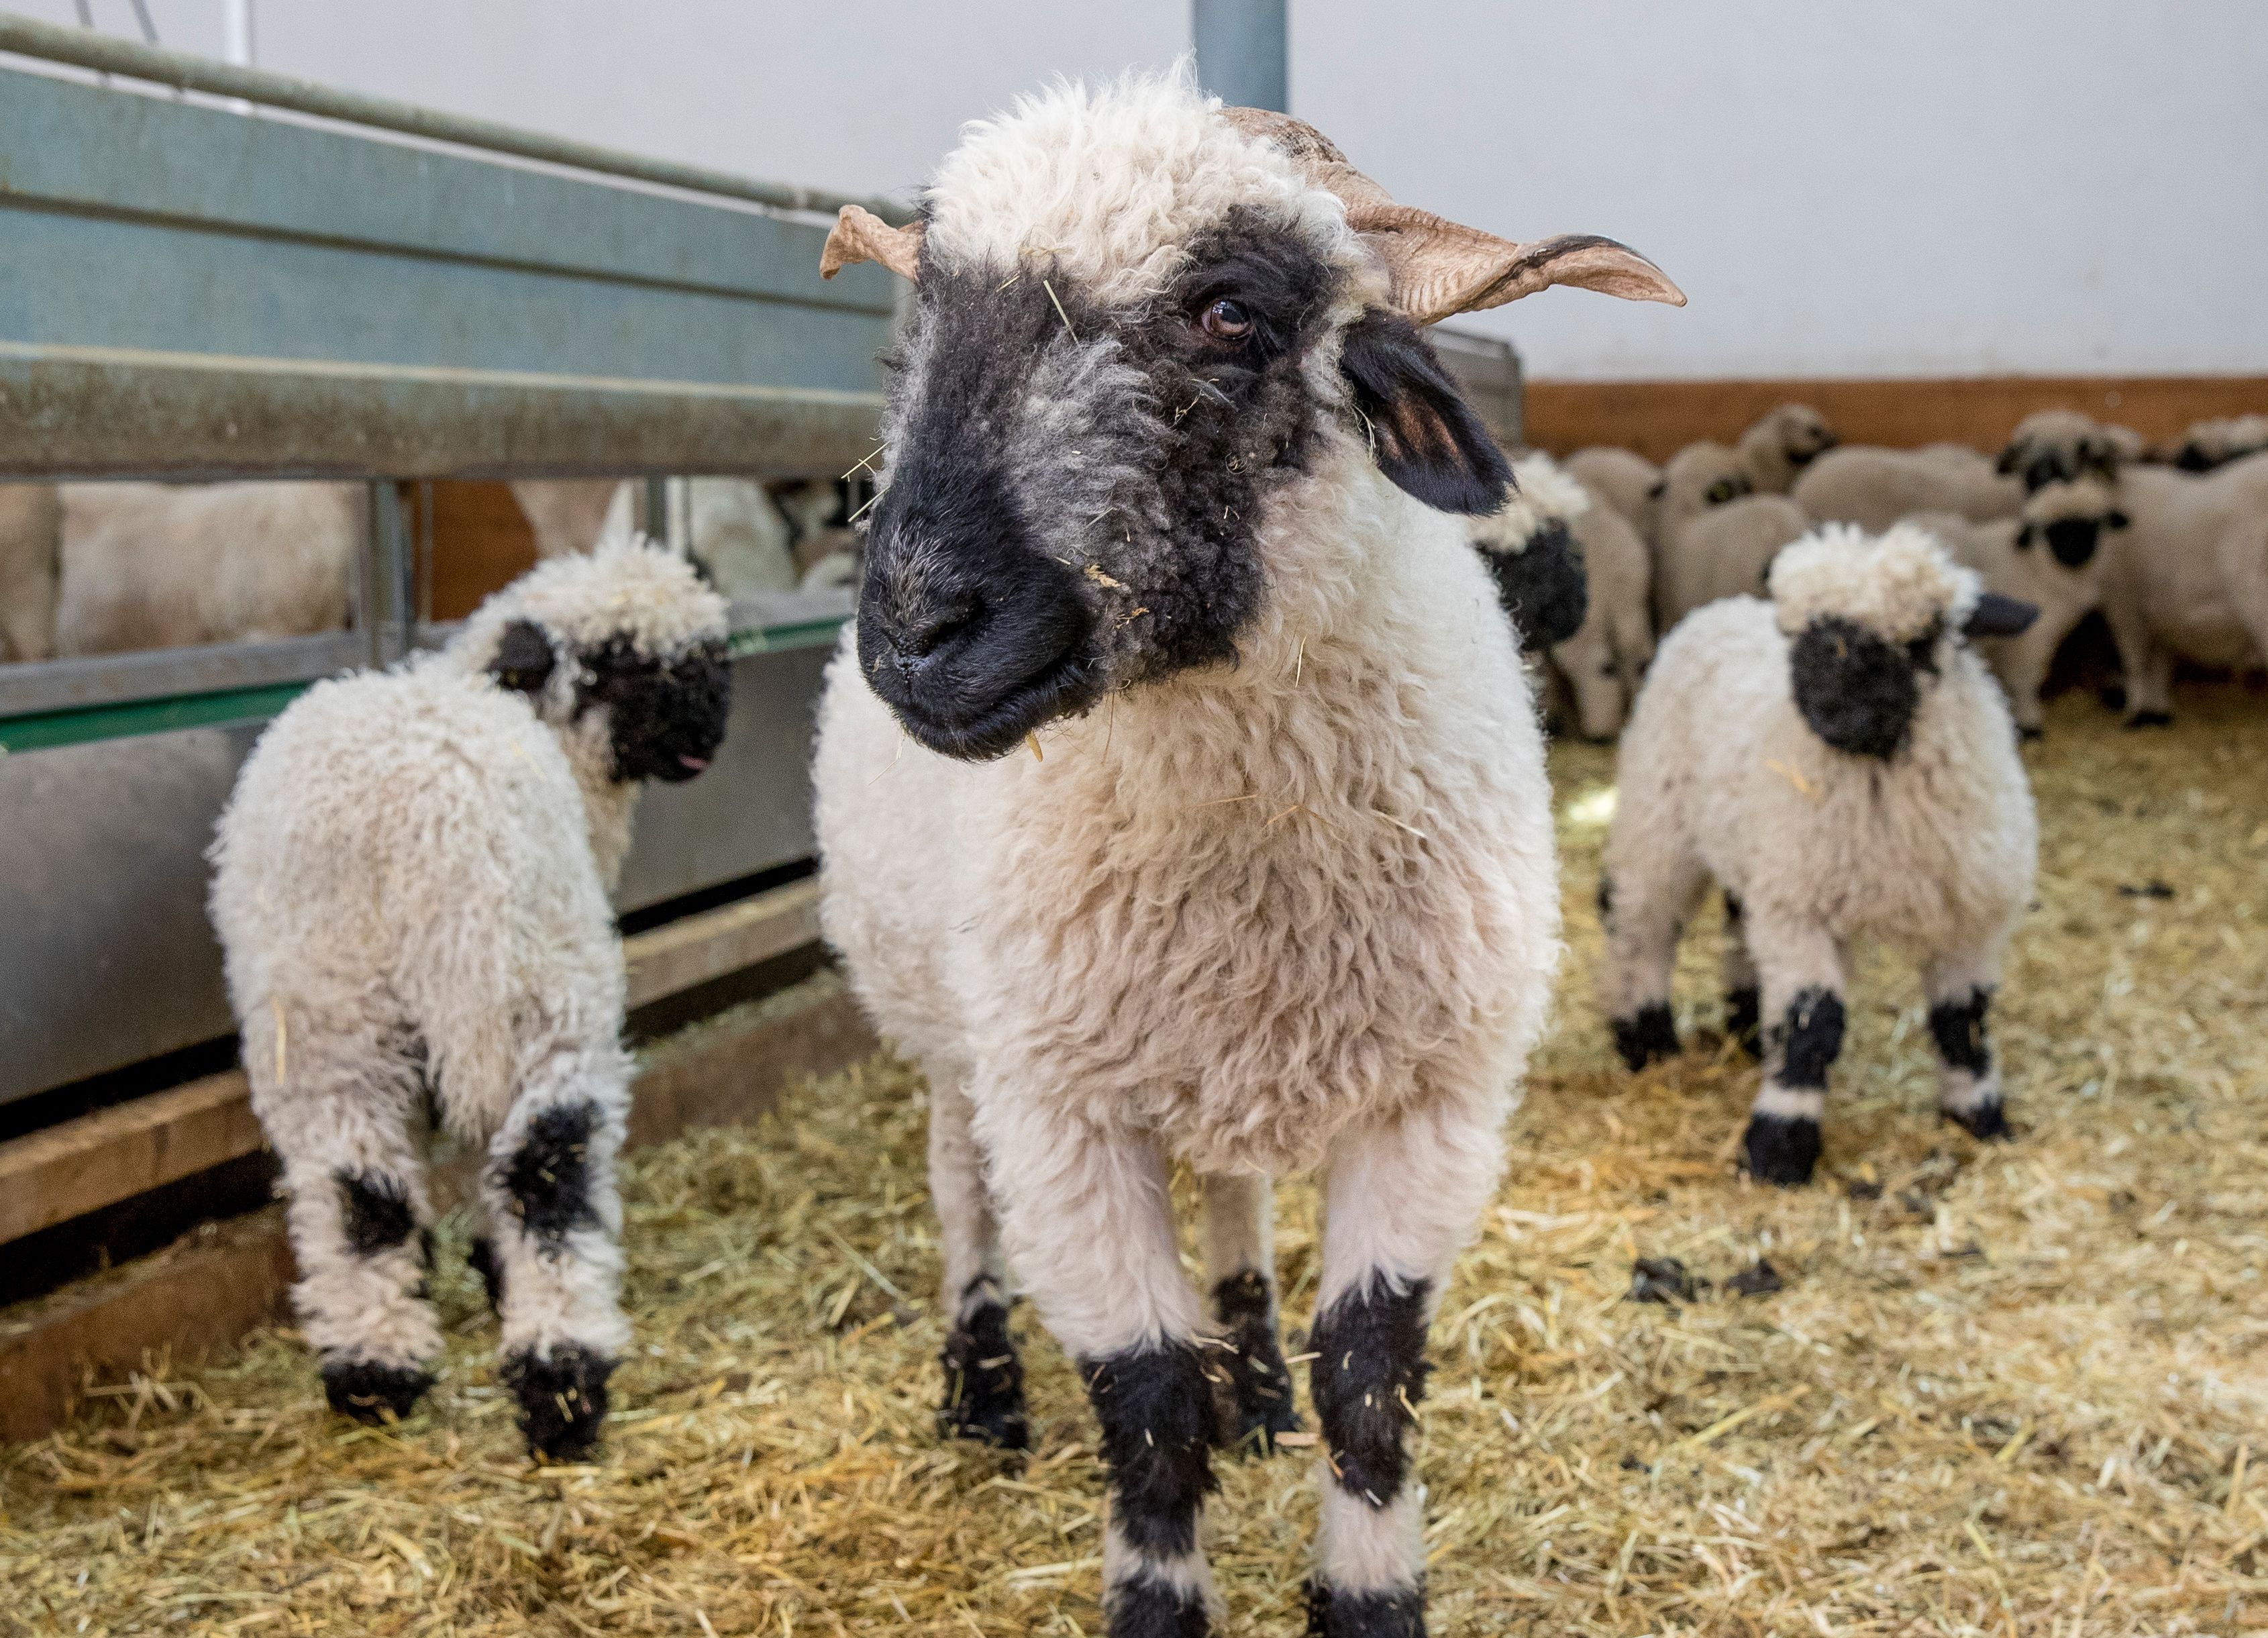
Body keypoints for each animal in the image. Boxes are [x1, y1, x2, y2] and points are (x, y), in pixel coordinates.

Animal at [208, 539, 731, 1458]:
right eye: (621, 664)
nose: (708, 729)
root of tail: (412, 827)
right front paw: (491, 1276)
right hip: (534, 997)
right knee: (547, 1174)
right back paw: (563, 1382)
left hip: (324, 1014)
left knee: (357, 1190)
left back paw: (374, 1371)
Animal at [810, 74, 1681, 1636]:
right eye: (924, 326)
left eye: (1230, 311)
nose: (914, 628)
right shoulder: (1066, 1112)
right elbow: (1147, 1400)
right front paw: (1159, 1592)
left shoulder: (1434, 1099)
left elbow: (1373, 1374)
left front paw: (1366, 1585)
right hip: (951, 1029)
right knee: (958, 1181)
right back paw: (980, 1388)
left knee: (1232, 1191)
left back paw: (1256, 1377)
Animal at [1601, 523, 2040, 1186]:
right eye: (1800, 637)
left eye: (1918, 641)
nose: (1826, 711)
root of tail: (1719, 608)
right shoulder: (1800, 910)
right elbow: (1814, 1025)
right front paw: (1779, 1146)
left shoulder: (1969, 920)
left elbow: (1962, 1021)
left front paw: (1980, 1116)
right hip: (1658, 817)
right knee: (1639, 923)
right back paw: (1645, 1037)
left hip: (1757, 849)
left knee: (1736, 922)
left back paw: (1748, 1031)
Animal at [1910, 476, 2129, 736]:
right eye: (2053, 530)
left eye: (2092, 526)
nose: (2073, 551)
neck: (2033, 565)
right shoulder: (2028, 640)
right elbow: (2025, 679)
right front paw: (2030, 723)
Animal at [2082, 453, 2268, 725]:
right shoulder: (2158, 614)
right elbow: (2160, 663)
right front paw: (2158, 713)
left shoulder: (2123, 604)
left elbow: (2136, 661)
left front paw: (2134, 715)